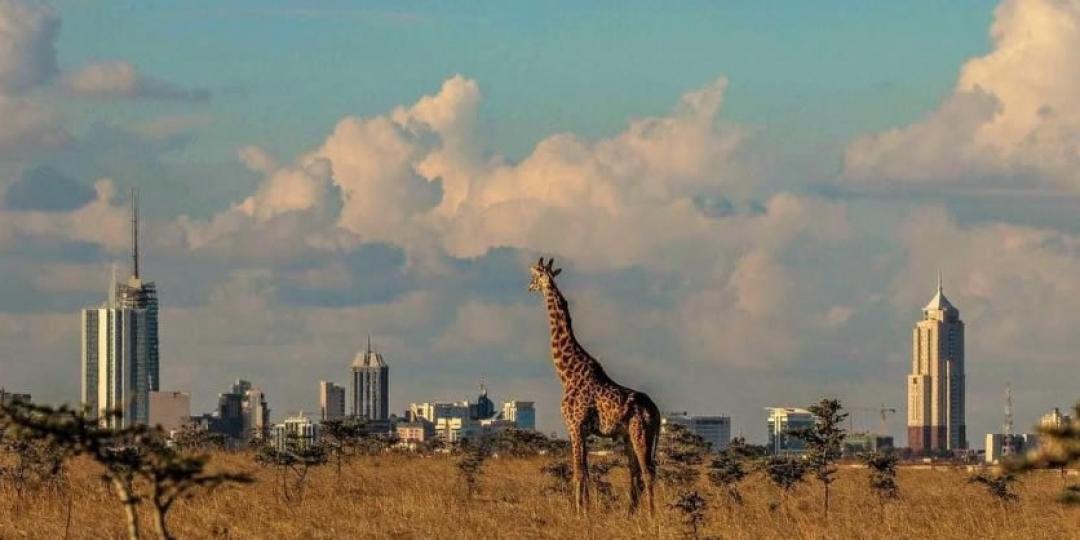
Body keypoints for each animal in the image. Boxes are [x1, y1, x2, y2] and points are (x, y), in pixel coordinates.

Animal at [527, 257, 660, 514]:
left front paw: (579, 514)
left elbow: (579, 473)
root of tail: (657, 412)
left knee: (648, 473)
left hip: (641, 433)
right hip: (628, 436)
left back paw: (651, 516)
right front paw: (585, 511)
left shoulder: (574, 426)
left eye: (536, 274)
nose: (529, 287)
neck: (567, 373)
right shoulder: (582, 430)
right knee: (636, 475)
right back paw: (630, 515)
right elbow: (585, 473)